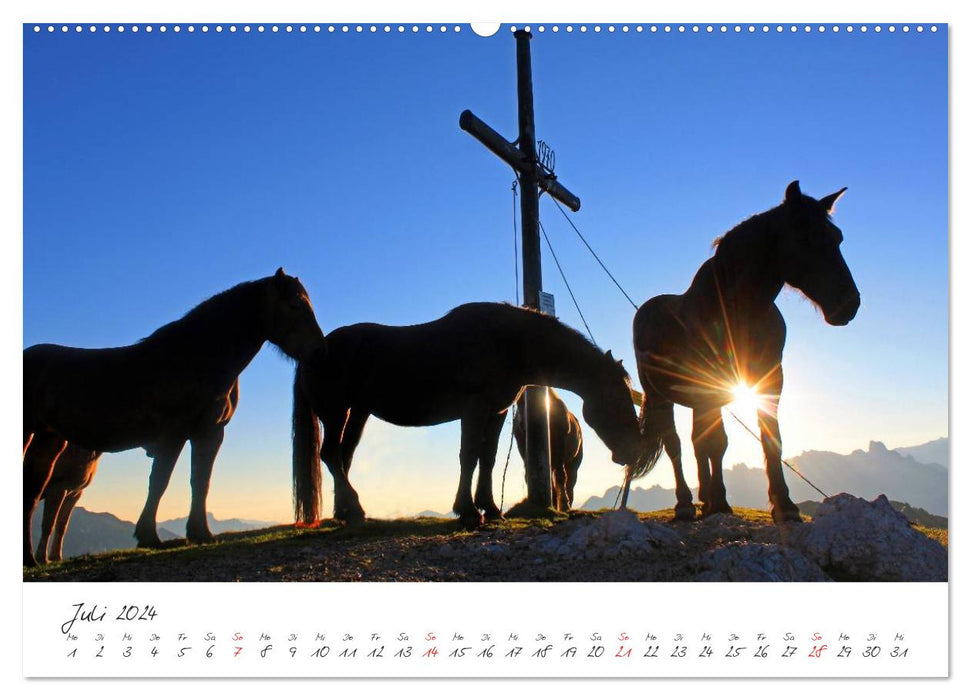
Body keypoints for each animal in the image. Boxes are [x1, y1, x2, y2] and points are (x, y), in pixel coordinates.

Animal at [21, 270, 326, 568]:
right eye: (296, 305)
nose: (318, 352)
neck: (195, 358)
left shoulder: (209, 432)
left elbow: (200, 480)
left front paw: (200, 533)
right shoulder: (175, 433)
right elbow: (160, 481)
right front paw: (149, 537)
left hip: (49, 439)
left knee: (32, 488)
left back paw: (31, 559)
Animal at [292, 304, 644, 528]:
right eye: (617, 400)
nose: (632, 452)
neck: (508, 342)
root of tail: (315, 350)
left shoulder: (496, 411)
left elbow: (487, 457)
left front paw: (490, 507)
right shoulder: (475, 408)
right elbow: (469, 455)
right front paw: (468, 510)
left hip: (358, 413)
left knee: (343, 456)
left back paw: (346, 512)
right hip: (336, 412)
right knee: (331, 454)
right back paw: (354, 509)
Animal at [624, 183, 860, 524]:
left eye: (837, 237)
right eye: (804, 235)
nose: (849, 304)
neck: (735, 311)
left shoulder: (770, 381)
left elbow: (765, 438)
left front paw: (783, 505)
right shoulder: (709, 387)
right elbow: (716, 442)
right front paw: (720, 502)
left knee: (697, 443)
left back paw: (704, 498)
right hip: (661, 396)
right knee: (675, 445)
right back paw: (685, 504)